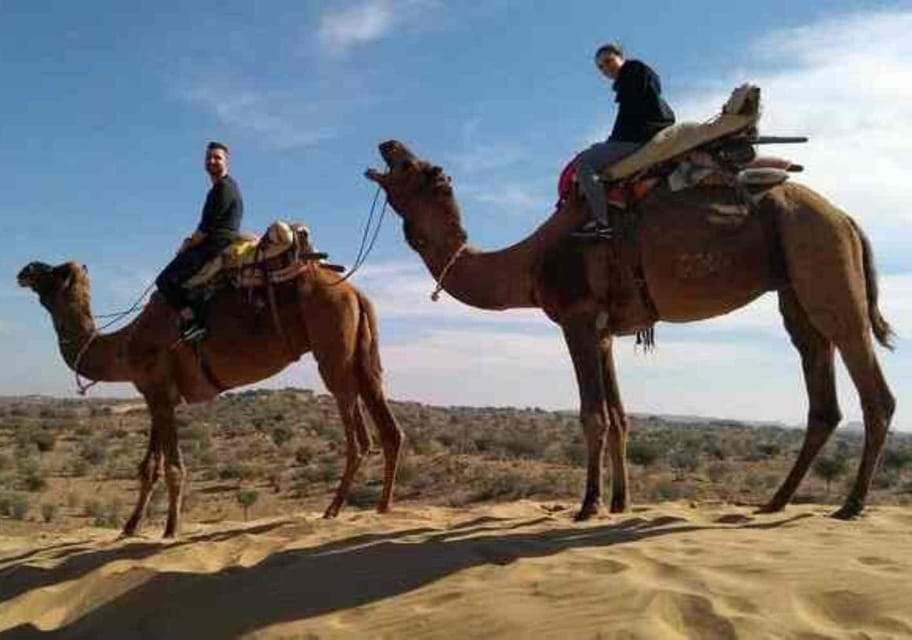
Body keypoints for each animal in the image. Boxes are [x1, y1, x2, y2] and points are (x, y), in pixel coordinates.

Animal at [17, 259, 404, 537]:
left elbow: (172, 466)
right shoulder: (158, 396)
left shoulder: (159, 392)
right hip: (361, 351)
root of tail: (356, 293)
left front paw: (170, 530)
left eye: (55, 271)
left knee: (358, 434)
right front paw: (130, 527)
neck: (123, 347)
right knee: (388, 425)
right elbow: (149, 467)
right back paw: (381, 507)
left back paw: (334, 509)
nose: (25, 270)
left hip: (332, 349)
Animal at [366, 139, 895, 520]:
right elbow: (619, 416)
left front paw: (588, 505)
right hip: (796, 287)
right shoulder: (604, 331)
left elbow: (592, 416)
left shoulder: (577, 319)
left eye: (414, 166)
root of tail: (848, 218)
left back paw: (851, 505)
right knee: (820, 387)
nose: (387, 144)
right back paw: (775, 501)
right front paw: (620, 502)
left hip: (823, 259)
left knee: (872, 386)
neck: (531, 262)